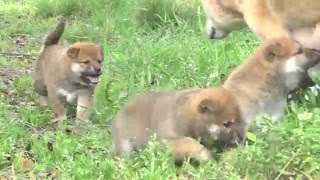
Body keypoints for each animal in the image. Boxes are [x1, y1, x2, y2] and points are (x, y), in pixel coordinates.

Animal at [110, 88, 245, 162]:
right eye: (227, 124)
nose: (241, 138)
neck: (185, 115)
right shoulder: (165, 139)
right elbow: (189, 142)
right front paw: (205, 156)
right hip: (124, 145)